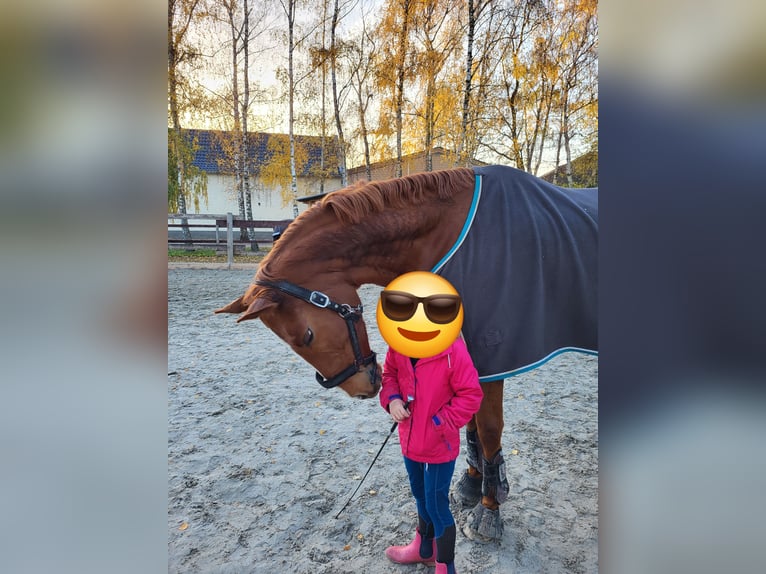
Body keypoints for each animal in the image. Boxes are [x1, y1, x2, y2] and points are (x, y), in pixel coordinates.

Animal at [216, 165, 598, 541]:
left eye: (306, 336)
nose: (361, 389)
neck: (448, 236)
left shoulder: (495, 353)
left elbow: (488, 428)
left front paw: (489, 510)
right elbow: (469, 423)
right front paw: (471, 485)